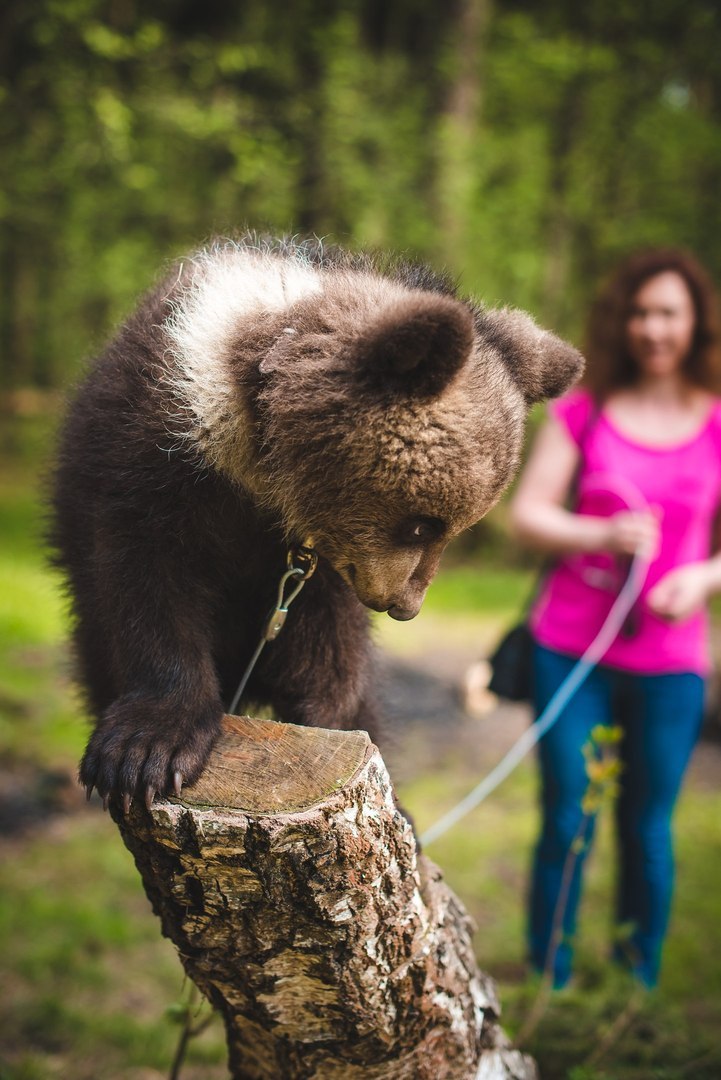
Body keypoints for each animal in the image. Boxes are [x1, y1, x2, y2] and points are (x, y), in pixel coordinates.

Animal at [49, 236, 578, 812]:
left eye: (455, 527)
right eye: (422, 525)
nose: (406, 606)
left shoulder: (316, 571)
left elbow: (329, 654)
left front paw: (341, 730)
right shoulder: (148, 458)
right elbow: (149, 583)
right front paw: (145, 751)